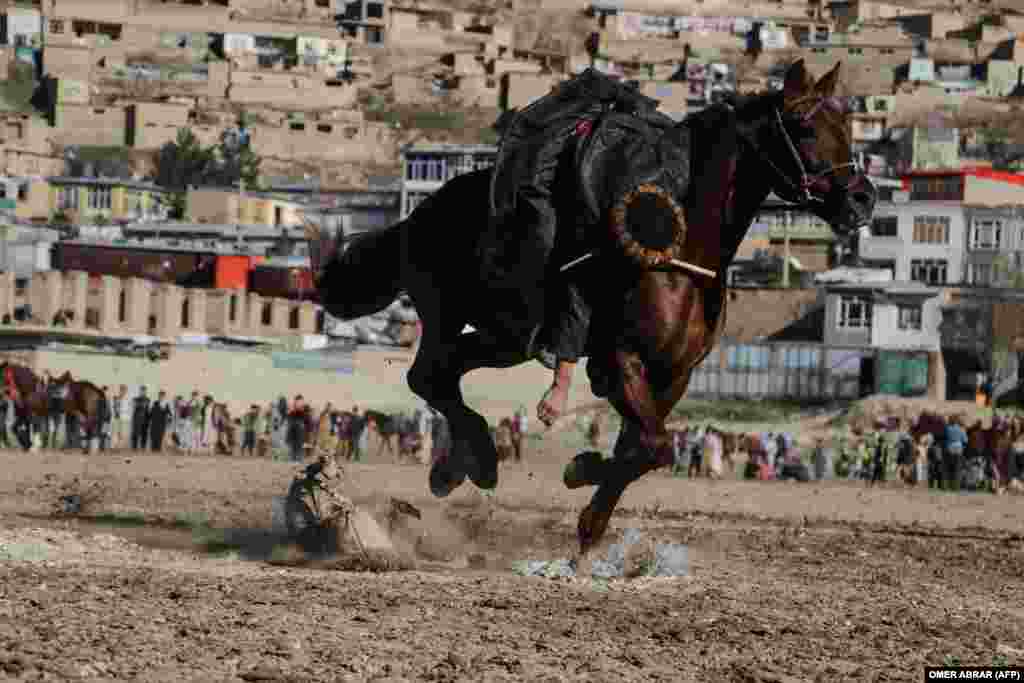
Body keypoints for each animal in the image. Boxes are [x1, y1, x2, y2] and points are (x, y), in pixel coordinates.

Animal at [303, 60, 872, 557]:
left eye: (846, 123)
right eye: (803, 126)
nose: (862, 199)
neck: (678, 249)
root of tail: (416, 215)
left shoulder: (675, 375)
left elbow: (642, 447)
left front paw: (590, 507)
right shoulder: (622, 363)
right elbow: (651, 446)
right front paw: (582, 473)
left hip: (509, 336)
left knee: (447, 371)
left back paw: (461, 463)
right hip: (448, 310)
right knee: (427, 375)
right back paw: (474, 460)